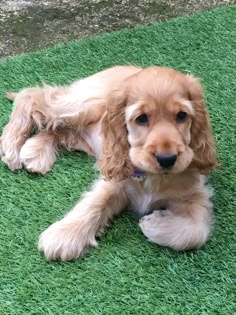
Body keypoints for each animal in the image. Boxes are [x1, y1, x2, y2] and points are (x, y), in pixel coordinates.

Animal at [0, 65, 218, 260]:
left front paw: (152, 224)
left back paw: (35, 153)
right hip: (81, 105)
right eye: (141, 118)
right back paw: (11, 146)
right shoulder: (115, 181)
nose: (167, 159)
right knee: (31, 95)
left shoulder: (196, 196)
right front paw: (64, 236)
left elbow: (195, 232)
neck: (154, 177)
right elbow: (95, 203)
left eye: (182, 115)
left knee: (56, 131)